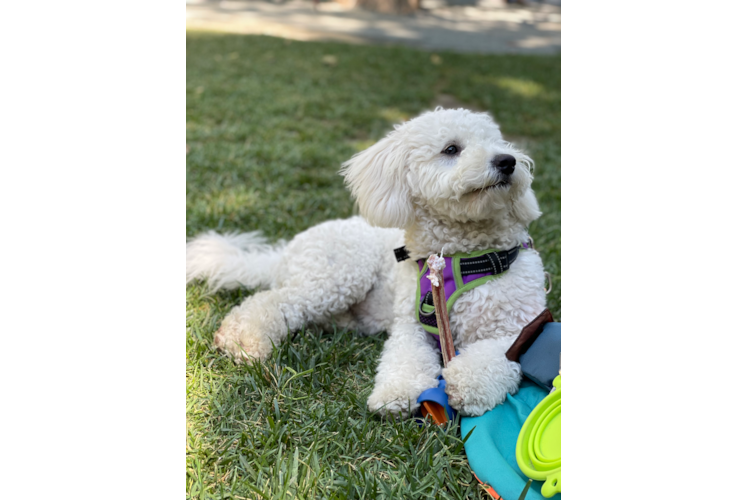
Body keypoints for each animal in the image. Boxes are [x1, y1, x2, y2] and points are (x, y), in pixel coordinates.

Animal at [186, 108, 548, 418]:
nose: (507, 161)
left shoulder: (524, 327)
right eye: (451, 149)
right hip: (338, 276)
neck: (463, 260)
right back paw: (244, 338)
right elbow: (404, 359)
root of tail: (285, 252)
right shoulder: (411, 326)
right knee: (270, 302)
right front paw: (396, 393)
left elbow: (494, 353)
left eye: (499, 143)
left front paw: (467, 383)